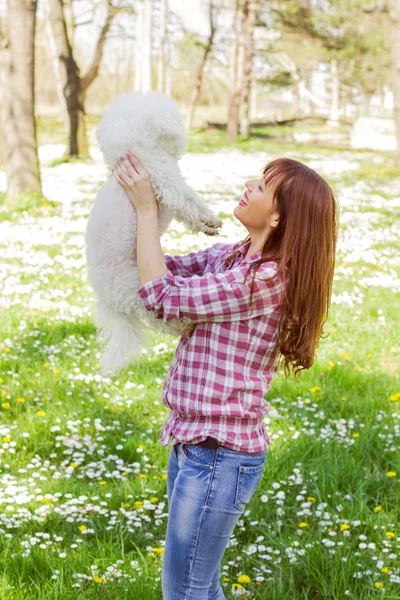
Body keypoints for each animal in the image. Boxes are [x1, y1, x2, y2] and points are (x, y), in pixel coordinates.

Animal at [85, 90, 222, 376]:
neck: (138, 152)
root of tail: (105, 298)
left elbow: (186, 212)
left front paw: (207, 227)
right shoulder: (166, 180)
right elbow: (188, 200)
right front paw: (209, 220)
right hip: (138, 293)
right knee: (161, 320)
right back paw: (185, 325)